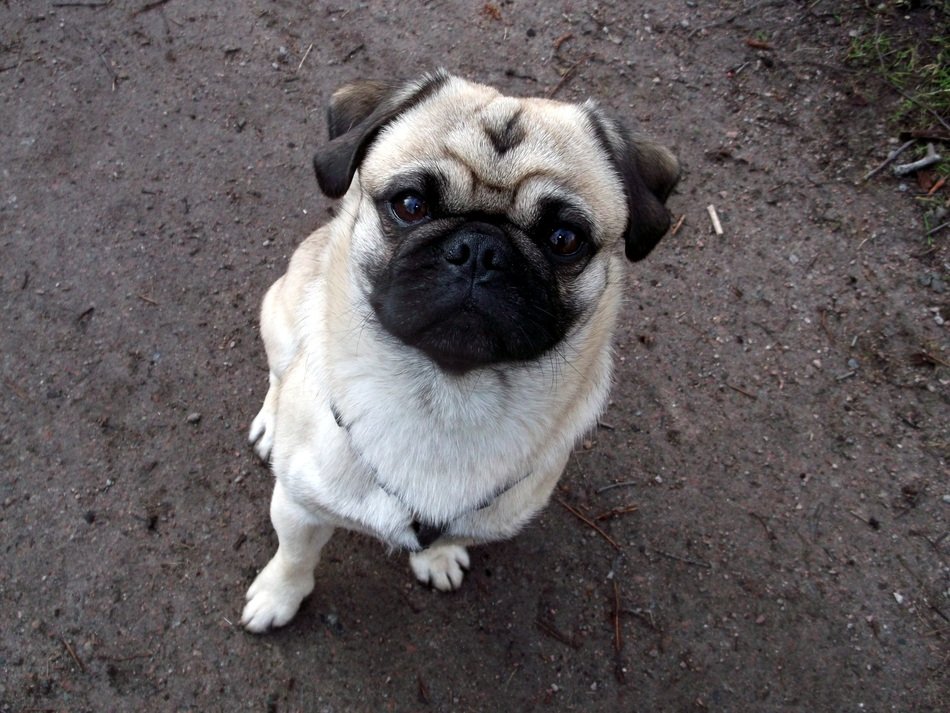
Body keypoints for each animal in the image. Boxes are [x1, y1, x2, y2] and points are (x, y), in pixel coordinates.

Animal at [242, 69, 680, 632]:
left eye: (564, 238)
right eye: (410, 205)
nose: (480, 248)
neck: (448, 400)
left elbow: (444, 537)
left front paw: (438, 557)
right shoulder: (299, 507)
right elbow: (295, 555)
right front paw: (279, 596)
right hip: (280, 311)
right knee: (278, 372)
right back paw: (269, 425)